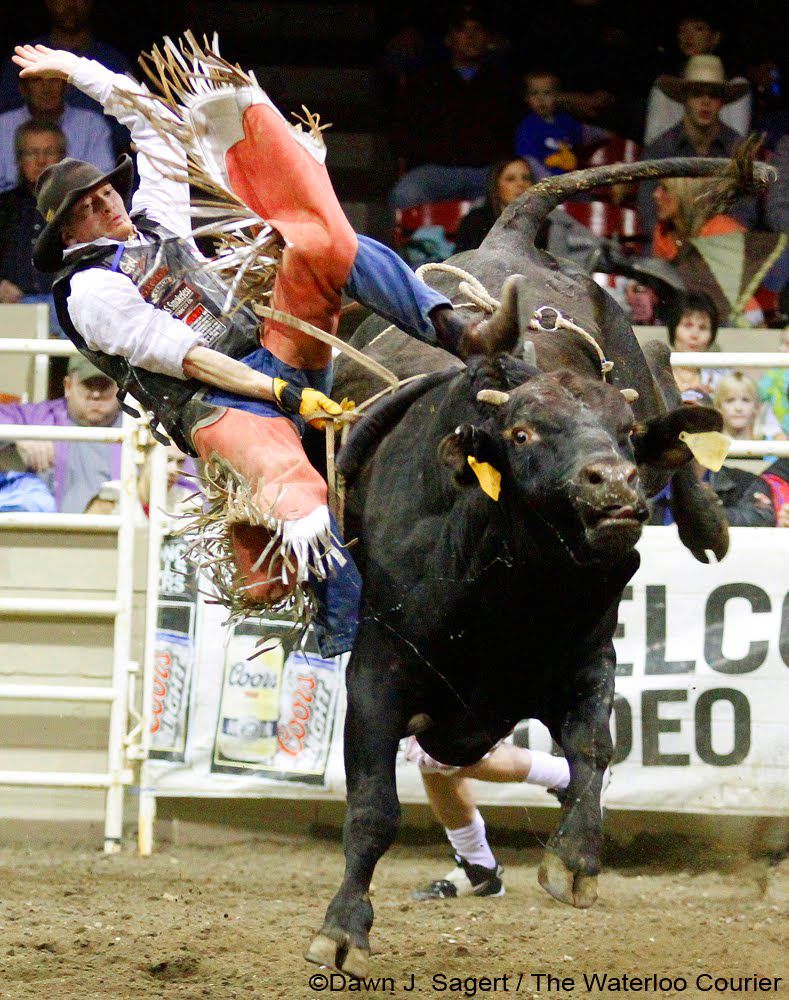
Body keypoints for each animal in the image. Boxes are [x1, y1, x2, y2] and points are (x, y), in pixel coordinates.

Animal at [304, 156, 772, 976]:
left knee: (657, 367)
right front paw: (343, 925)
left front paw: (575, 860)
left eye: (621, 435)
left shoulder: (585, 656)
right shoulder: (378, 676)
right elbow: (372, 807)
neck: (510, 586)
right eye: (522, 432)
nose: (614, 482)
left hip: (625, 344)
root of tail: (507, 235)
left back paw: (707, 521)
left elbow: (593, 747)